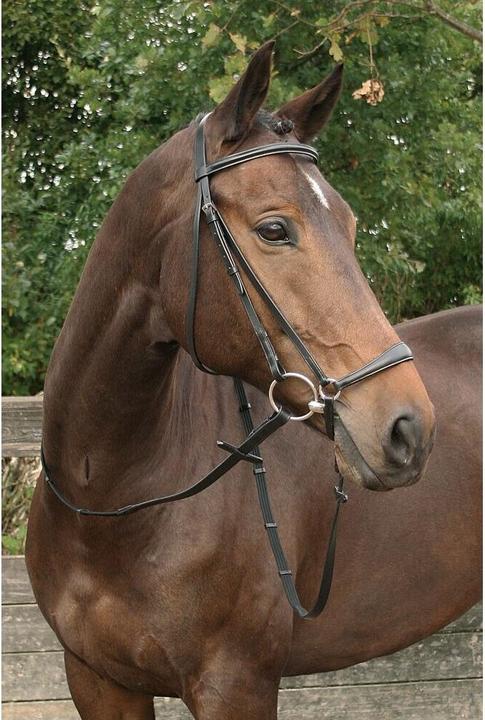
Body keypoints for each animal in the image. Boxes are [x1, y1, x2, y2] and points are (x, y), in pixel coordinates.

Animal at [26, 41, 478, 719]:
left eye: (349, 227)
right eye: (274, 229)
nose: (408, 429)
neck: (111, 498)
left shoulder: (236, 684)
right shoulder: (97, 680)